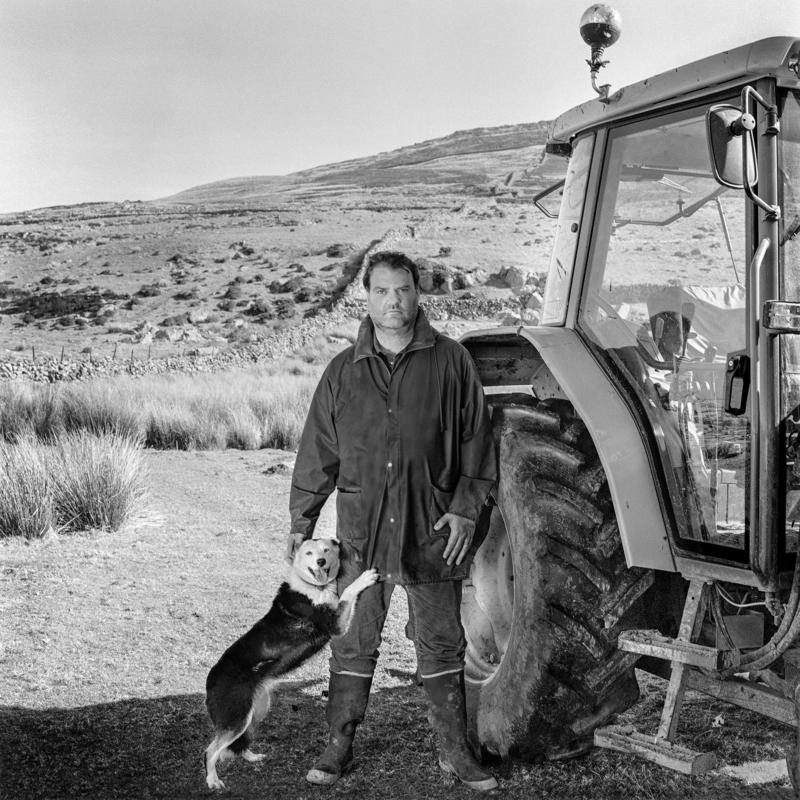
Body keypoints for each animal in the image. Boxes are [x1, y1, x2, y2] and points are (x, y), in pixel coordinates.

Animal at [200, 536, 376, 792]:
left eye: (326, 549)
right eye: (309, 553)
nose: (321, 561)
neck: (315, 588)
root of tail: (211, 678)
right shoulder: (336, 624)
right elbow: (348, 592)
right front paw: (365, 578)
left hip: (255, 712)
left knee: (237, 743)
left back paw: (251, 756)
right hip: (237, 718)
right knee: (210, 751)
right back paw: (213, 780)